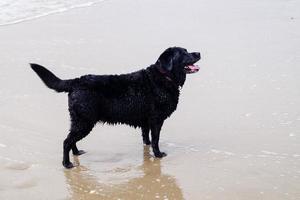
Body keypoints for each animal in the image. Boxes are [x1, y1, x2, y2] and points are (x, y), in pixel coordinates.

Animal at [30, 47, 200, 169]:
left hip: (78, 121)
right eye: (183, 52)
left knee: (71, 139)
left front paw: (147, 147)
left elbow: (146, 136)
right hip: (84, 121)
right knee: (66, 141)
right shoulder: (156, 120)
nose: (198, 52)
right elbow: (156, 139)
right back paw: (67, 164)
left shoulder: (146, 121)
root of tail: (76, 81)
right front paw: (158, 154)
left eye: (187, 50)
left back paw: (77, 152)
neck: (164, 76)